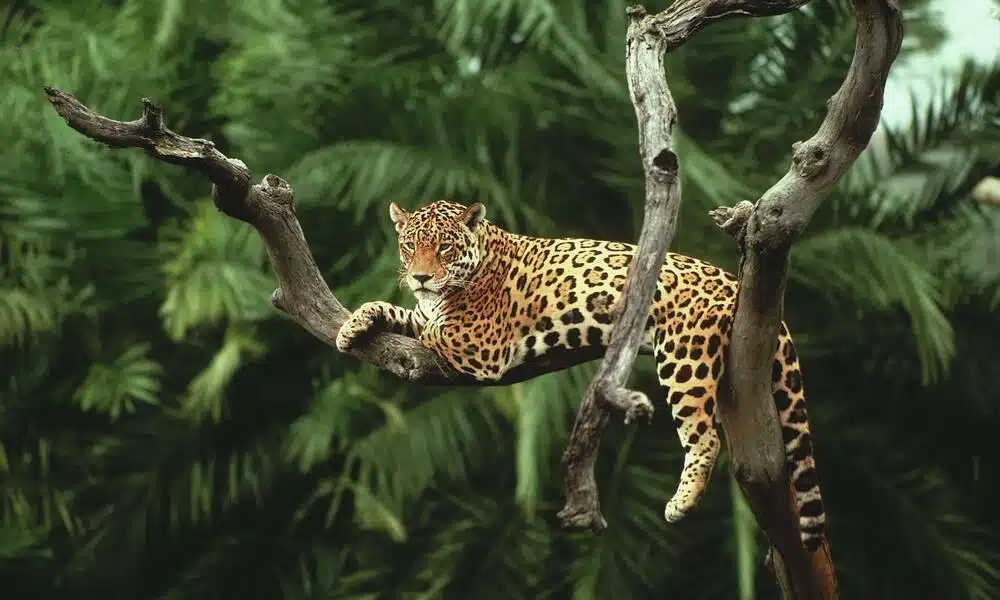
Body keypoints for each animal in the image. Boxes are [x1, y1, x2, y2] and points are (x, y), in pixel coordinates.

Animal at [336, 200, 827, 551]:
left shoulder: (479, 344)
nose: (420, 277)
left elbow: (431, 326)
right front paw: (353, 325)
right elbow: (401, 311)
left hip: (683, 355)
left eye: (445, 249)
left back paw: (680, 503)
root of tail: (733, 281)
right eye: (408, 247)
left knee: (704, 436)